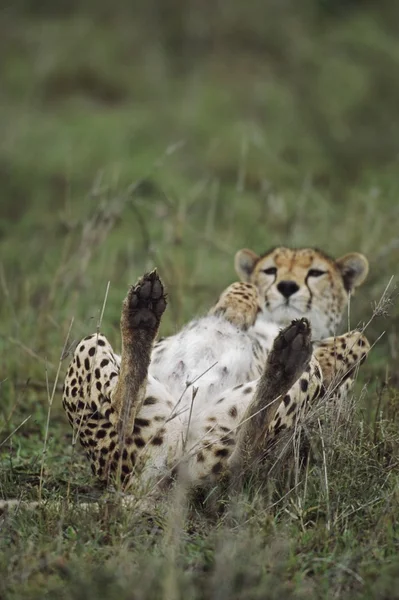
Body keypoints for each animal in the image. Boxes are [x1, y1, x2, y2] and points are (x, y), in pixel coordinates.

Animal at [62, 264, 372, 496]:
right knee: (121, 413)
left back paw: (287, 358)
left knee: (240, 461)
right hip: (89, 344)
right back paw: (142, 312)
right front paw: (240, 306)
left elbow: (359, 341)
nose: (289, 287)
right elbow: (242, 289)